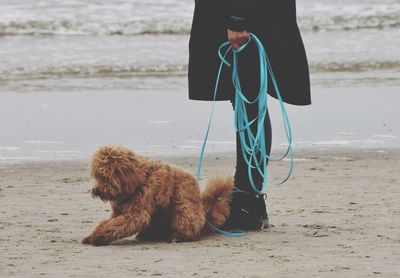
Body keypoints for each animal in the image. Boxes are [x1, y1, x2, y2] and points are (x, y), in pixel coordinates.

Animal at [81, 146, 233, 245]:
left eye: (104, 176)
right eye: (96, 176)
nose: (96, 191)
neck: (139, 179)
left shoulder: (136, 214)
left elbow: (115, 226)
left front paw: (98, 237)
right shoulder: (119, 211)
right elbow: (109, 224)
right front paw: (93, 236)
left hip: (184, 207)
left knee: (188, 227)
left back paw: (178, 237)